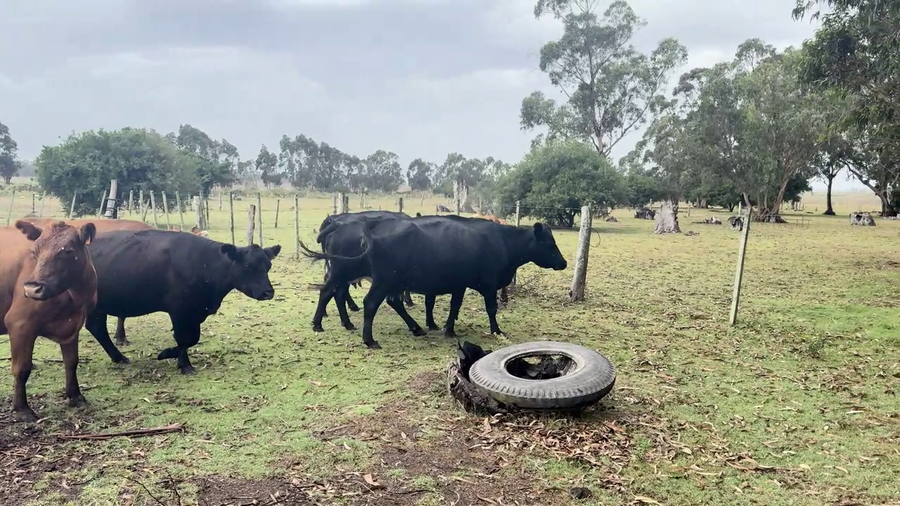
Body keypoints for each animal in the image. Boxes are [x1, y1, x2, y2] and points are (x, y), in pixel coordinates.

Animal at [0, 220, 98, 422]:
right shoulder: (19, 324)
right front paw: (22, 409)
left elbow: (71, 362)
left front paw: (75, 396)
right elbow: (21, 368)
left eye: (68, 251)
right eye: (34, 252)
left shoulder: (73, 326)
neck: (74, 296)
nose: (32, 289)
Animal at [81, 229, 281, 374]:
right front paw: (182, 364)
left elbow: (191, 338)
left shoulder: (195, 311)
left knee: (97, 328)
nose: (268, 292)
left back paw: (119, 357)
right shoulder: (180, 311)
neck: (206, 264)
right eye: (248, 266)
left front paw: (172, 356)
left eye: (268, 266)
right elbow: (186, 338)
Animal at [304, 216, 568, 349]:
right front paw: (496, 330)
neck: (503, 241)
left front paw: (447, 329)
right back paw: (368, 339)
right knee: (364, 302)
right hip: (379, 279)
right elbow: (491, 309)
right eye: (550, 243)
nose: (564, 262)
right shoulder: (489, 284)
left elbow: (454, 306)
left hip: (364, 277)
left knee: (337, 293)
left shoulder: (460, 284)